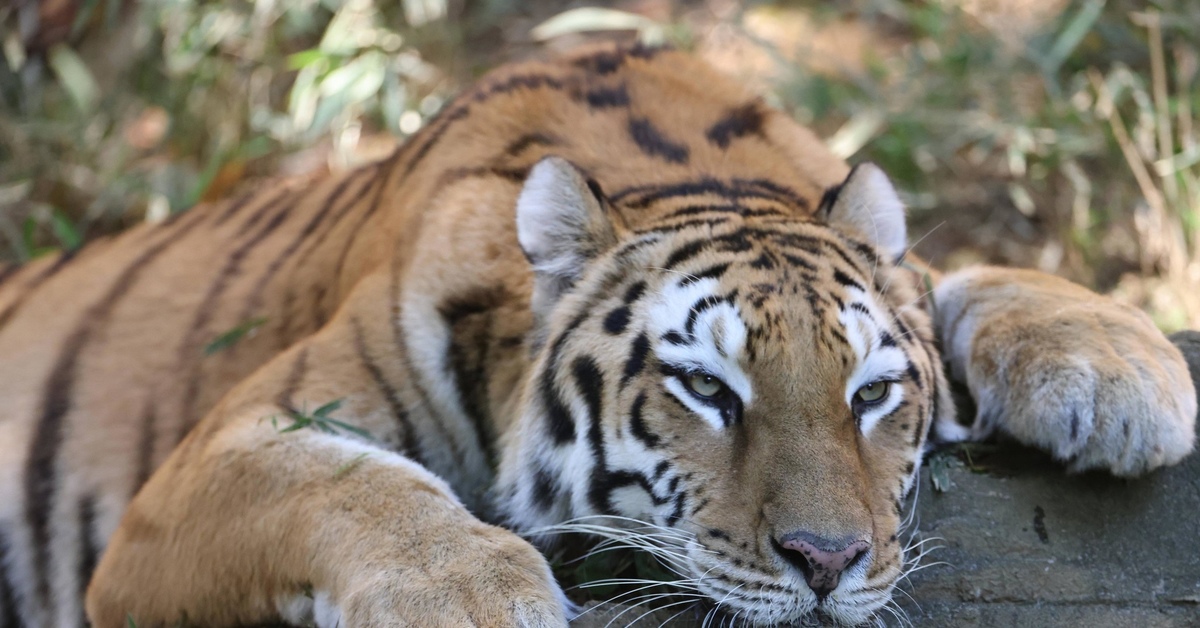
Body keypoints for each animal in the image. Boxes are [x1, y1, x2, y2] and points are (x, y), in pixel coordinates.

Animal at [0, 44, 1195, 628]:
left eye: (870, 396)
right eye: (708, 391)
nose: (828, 563)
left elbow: (965, 274)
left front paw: (1126, 370)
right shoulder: (217, 455)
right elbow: (350, 486)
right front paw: (472, 597)